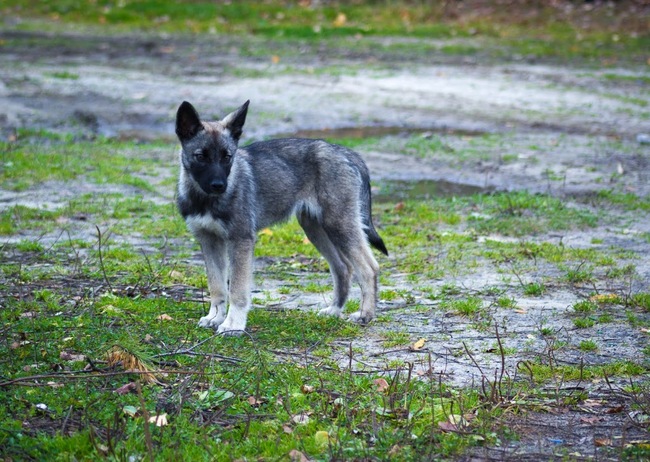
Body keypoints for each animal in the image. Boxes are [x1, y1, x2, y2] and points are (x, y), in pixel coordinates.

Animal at [173, 100, 384, 332]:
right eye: (201, 156)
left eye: (227, 157)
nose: (219, 186)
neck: (205, 200)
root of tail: (345, 152)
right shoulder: (209, 241)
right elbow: (217, 286)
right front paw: (216, 317)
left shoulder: (240, 241)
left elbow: (237, 289)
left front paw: (233, 325)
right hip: (316, 229)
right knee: (343, 268)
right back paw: (334, 310)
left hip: (339, 225)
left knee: (369, 268)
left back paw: (365, 314)